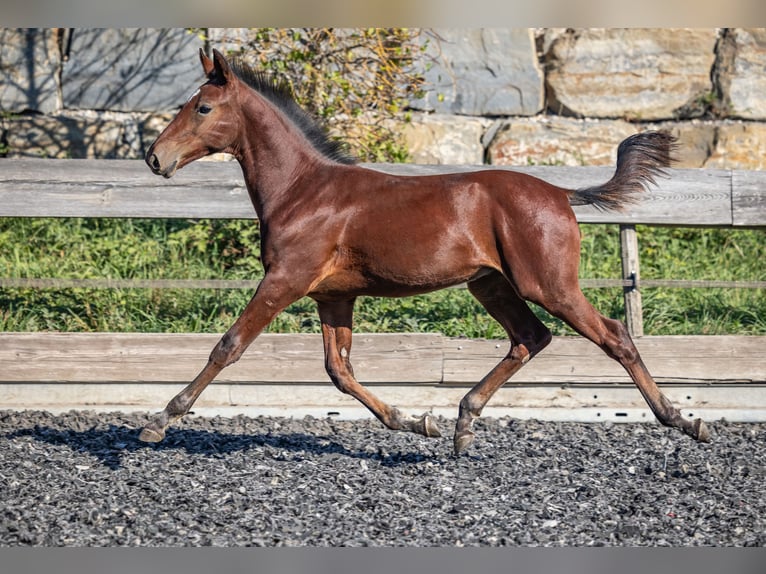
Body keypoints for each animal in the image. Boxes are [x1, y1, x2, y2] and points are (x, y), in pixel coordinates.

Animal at [141, 48, 710, 454]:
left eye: (202, 107)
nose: (154, 158)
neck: (303, 190)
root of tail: (559, 193)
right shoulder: (333, 296)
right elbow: (339, 370)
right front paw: (417, 422)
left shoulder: (286, 279)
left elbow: (229, 345)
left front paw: (160, 420)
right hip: (491, 285)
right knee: (530, 338)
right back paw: (462, 422)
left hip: (549, 285)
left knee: (615, 336)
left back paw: (684, 420)